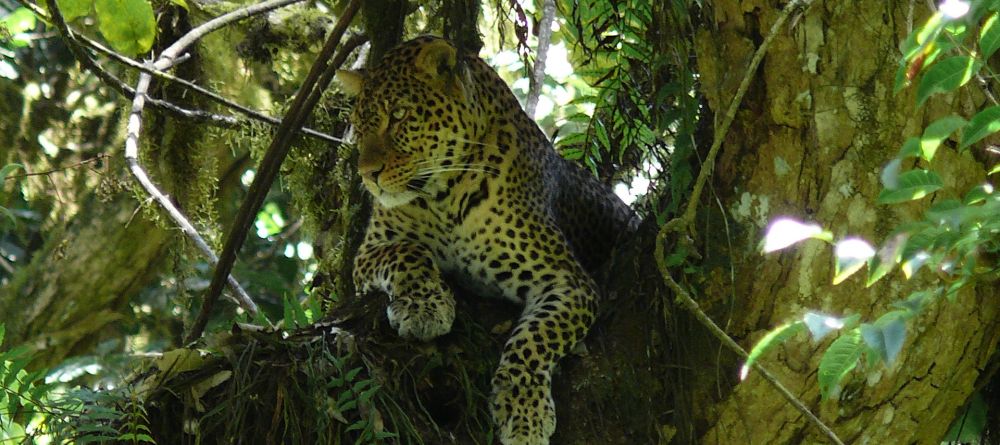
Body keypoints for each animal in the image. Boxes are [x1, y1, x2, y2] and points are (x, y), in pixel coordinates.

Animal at [334, 35, 632, 444]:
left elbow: (535, 339)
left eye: (399, 115)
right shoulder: (368, 253)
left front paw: (524, 412)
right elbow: (407, 250)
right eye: (358, 126)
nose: (367, 174)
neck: (442, 195)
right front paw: (425, 307)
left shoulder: (568, 281)